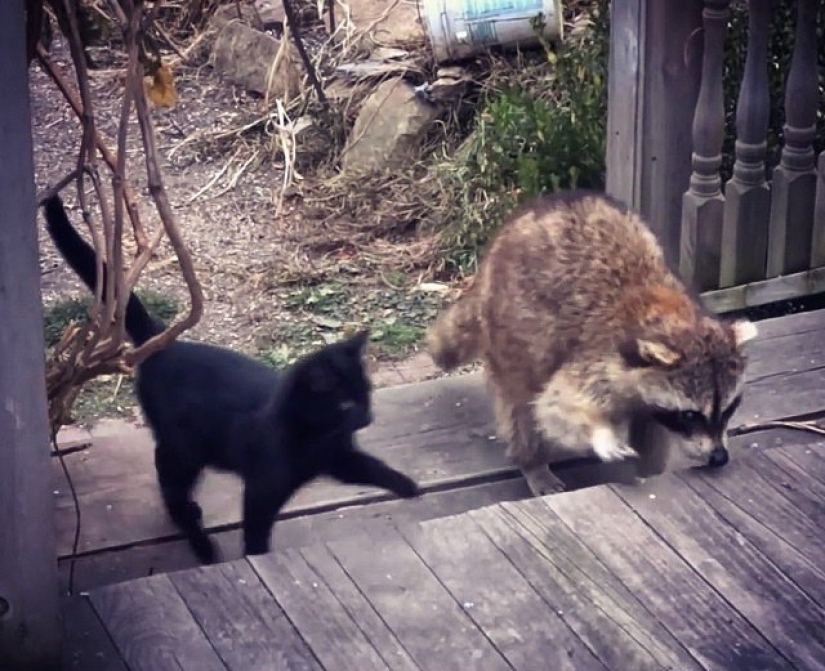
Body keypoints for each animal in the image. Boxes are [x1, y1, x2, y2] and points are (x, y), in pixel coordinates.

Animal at [427, 190, 757, 496]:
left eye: (730, 408)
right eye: (690, 415)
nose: (719, 457)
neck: (672, 316)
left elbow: (653, 430)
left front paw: (651, 468)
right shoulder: (598, 355)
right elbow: (556, 405)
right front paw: (600, 432)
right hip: (511, 327)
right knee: (521, 403)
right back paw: (532, 462)